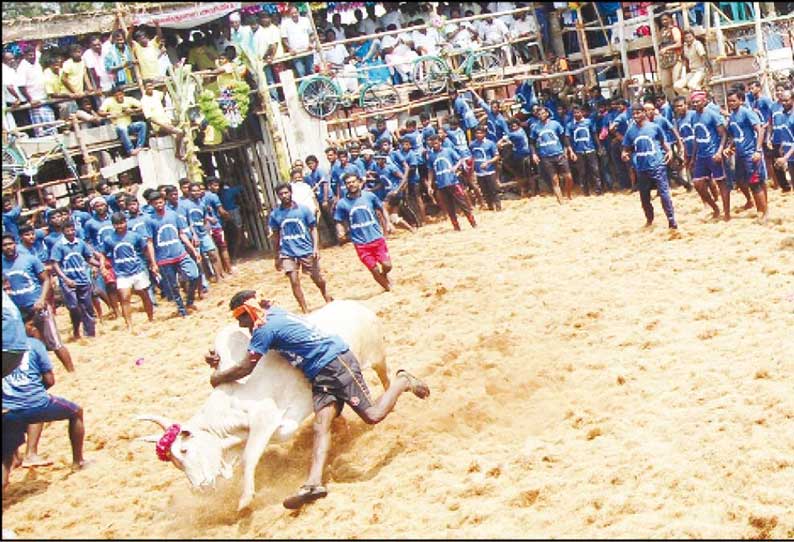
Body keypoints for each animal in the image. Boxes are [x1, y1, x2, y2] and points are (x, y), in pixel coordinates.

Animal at [140, 300, 392, 512]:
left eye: (184, 450)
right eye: (175, 462)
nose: (200, 489)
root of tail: (357, 306)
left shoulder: (266, 419)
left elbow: (248, 458)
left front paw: (245, 499)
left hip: (376, 359)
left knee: (386, 382)